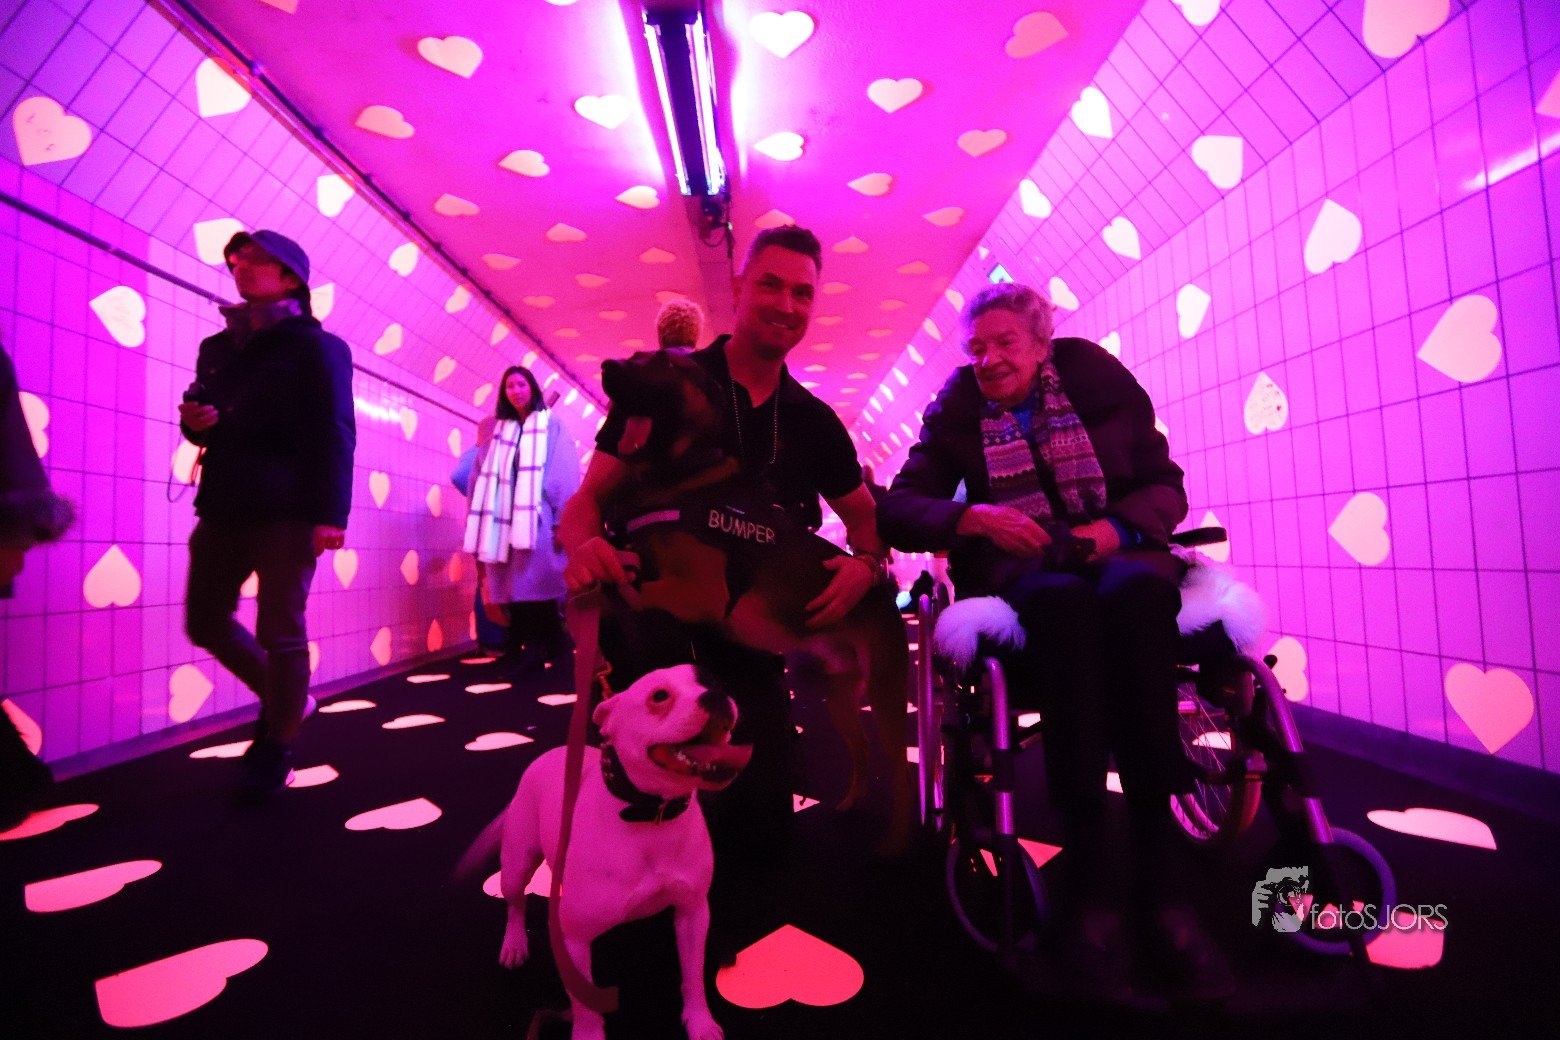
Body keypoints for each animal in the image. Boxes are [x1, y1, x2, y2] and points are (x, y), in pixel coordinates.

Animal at [459, 664, 750, 1040]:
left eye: (710, 680)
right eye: (659, 696)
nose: (715, 694)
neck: (649, 814)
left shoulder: (693, 913)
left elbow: (693, 976)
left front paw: (699, 1022)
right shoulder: (574, 940)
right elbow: (583, 1004)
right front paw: (588, 1033)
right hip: (516, 864)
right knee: (515, 903)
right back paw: (514, 944)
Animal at [598, 349, 914, 852]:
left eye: (665, 363)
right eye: (634, 356)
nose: (608, 367)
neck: (679, 474)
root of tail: (880, 588)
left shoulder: (700, 594)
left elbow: (634, 590)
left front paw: (607, 592)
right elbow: (627, 569)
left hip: (885, 695)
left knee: (901, 772)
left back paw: (896, 842)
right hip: (837, 698)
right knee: (861, 749)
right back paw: (851, 803)